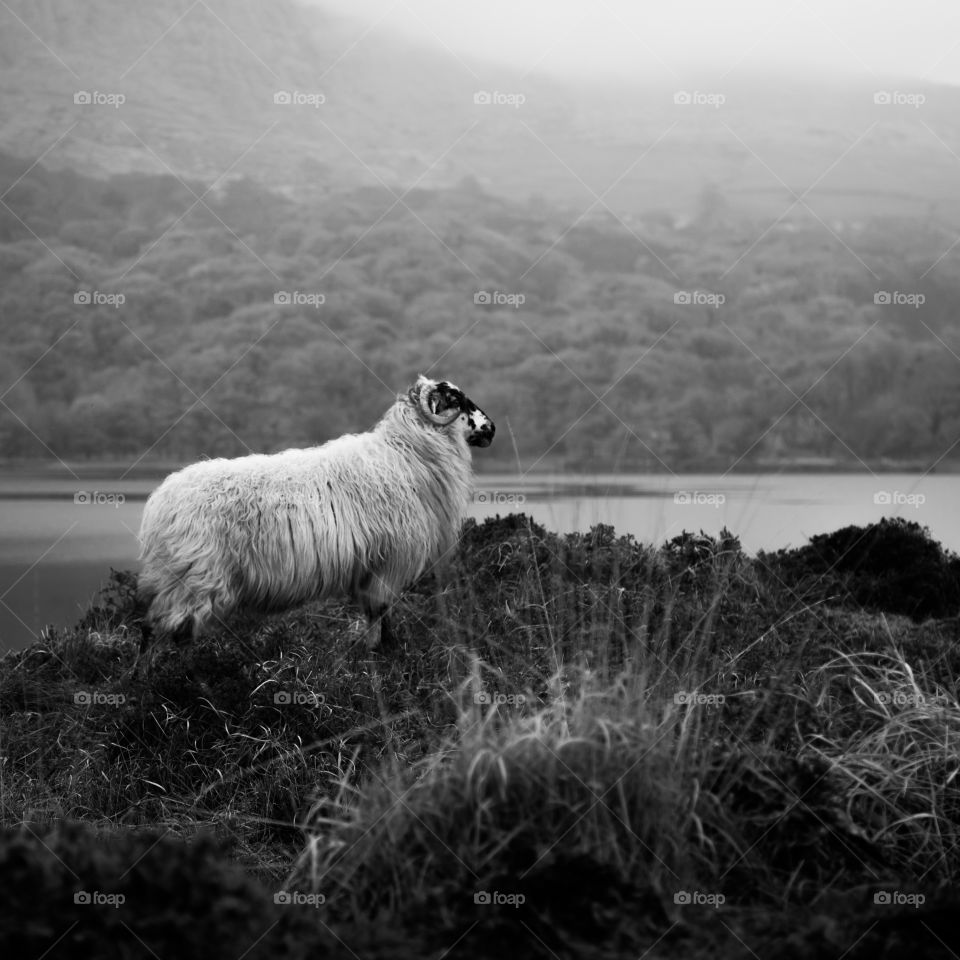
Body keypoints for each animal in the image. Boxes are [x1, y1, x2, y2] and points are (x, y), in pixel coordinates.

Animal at [135, 376, 496, 660]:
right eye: (457, 400)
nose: (492, 429)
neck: (403, 453)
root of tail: (159, 502)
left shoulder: (372, 566)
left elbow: (373, 614)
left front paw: (374, 651)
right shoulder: (388, 562)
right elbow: (381, 613)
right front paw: (385, 654)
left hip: (177, 577)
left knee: (153, 628)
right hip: (193, 576)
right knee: (165, 631)